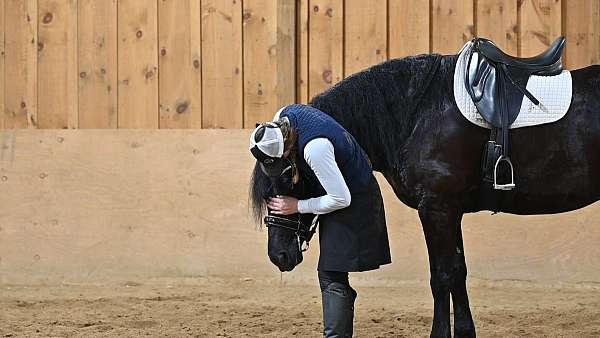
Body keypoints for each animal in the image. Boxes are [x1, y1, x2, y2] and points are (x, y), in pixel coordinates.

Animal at [250, 48, 600, 336]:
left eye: (287, 176)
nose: (278, 255)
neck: (417, 114)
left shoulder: (437, 208)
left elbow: (442, 276)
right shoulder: (448, 210)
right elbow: (457, 272)